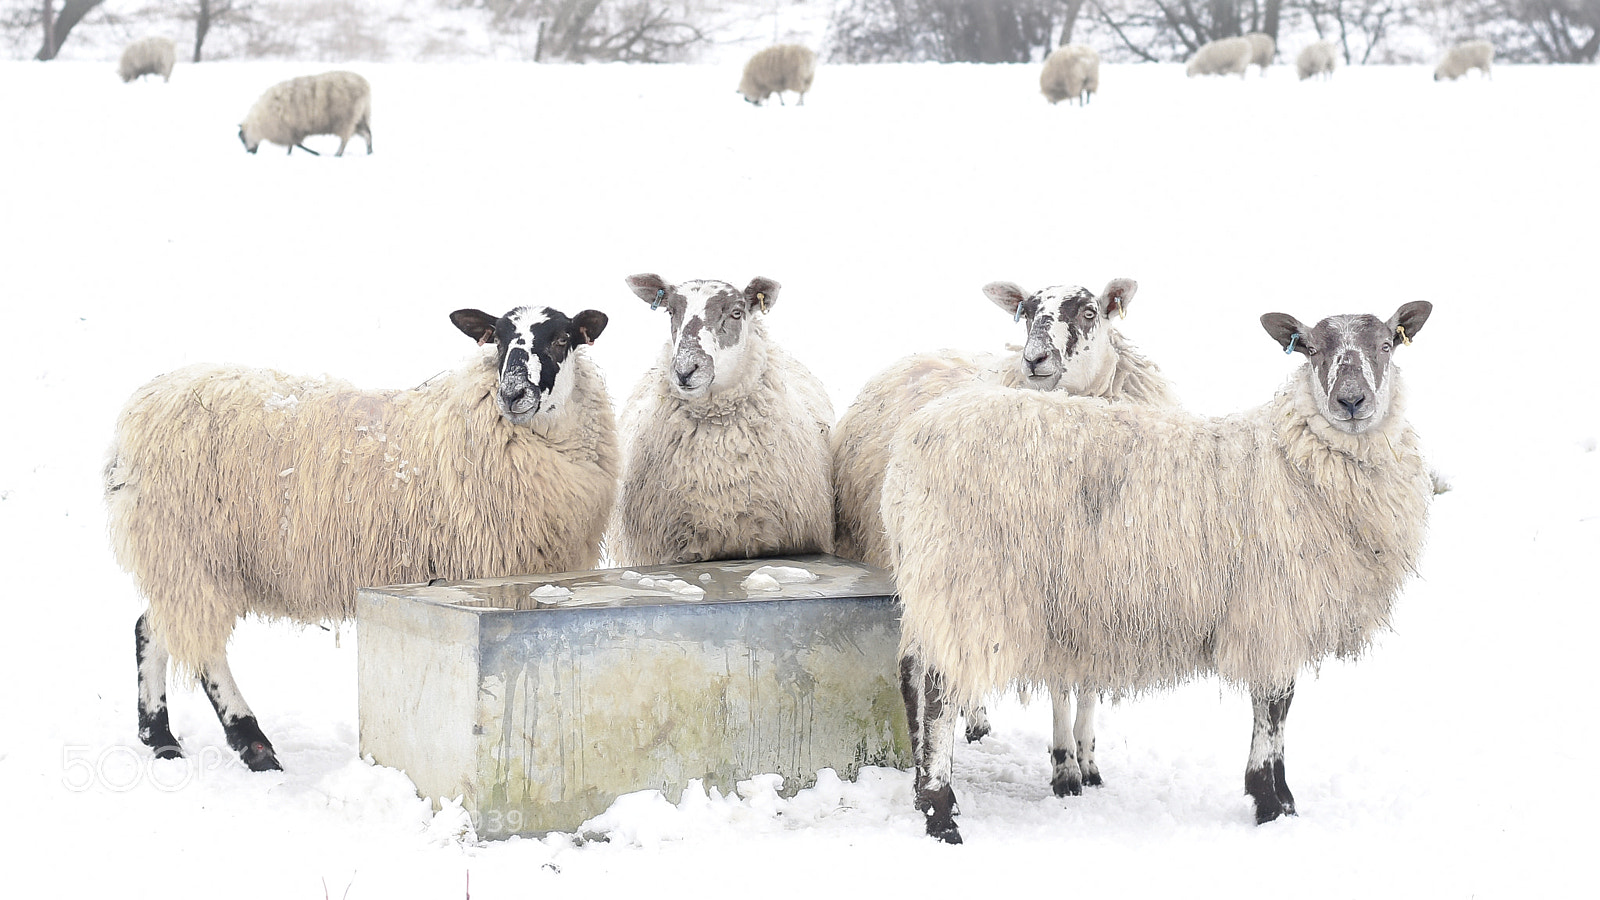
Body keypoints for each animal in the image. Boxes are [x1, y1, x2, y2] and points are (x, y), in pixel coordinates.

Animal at [108, 305, 618, 771]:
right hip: (189, 548)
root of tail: (142, 405)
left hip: (176, 555)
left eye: (562, 338)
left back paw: (160, 738)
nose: (512, 395)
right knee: (200, 648)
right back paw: (252, 744)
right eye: (498, 340)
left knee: (150, 627)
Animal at [238, 70, 372, 157]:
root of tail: (365, 85)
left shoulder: (289, 129)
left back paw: (338, 154)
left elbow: (297, 144)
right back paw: (369, 151)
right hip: (359, 118)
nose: (250, 152)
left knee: (345, 140)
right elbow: (294, 144)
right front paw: (290, 153)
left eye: (243, 138)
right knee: (367, 134)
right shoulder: (291, 129)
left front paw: (314, 153)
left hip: (346, 119)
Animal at [833, 278, 1172, 793]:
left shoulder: (1098, 589)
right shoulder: (1050, 588)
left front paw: (1089, 761)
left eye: (1090, 311)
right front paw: (1063, 768)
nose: (1034, 358)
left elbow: (1089, 684)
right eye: (1025, 312)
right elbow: (1060, 684)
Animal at [885, 301, 1434, 842]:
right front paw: (1270, 800)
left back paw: (920, 791)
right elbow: (1273, 705)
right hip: (967, 580)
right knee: (937, 692)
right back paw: (941, 813)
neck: (1290, 459)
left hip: (935, 581)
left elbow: (1277, 706)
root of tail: (907, 452)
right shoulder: (1269, 614)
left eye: (1386, 345)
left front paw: (1280, 798)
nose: (1351, 401)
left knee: (912, 673)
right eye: (1314, 349)